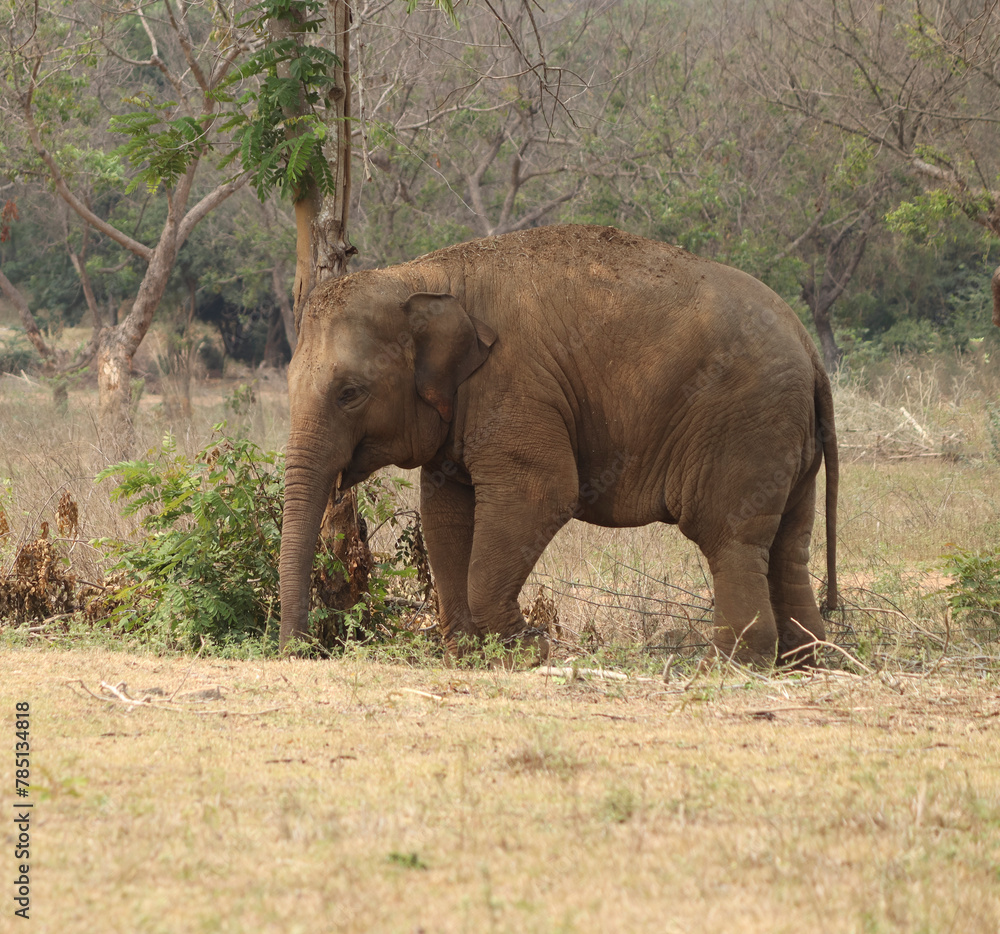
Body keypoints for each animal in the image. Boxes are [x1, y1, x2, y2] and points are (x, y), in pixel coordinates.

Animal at [278, 224, 840, 668]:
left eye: (349, 393)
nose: (301, 650)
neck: (423, 277)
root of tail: (811, 351)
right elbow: (445, 516)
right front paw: (469, 657)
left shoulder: (516, 387)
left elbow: (542, 494)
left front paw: (527, 652)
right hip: (785, 437)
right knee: (788, 544)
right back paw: (804, 659)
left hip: (745, 423)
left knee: (728, 536)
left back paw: (727, 666)